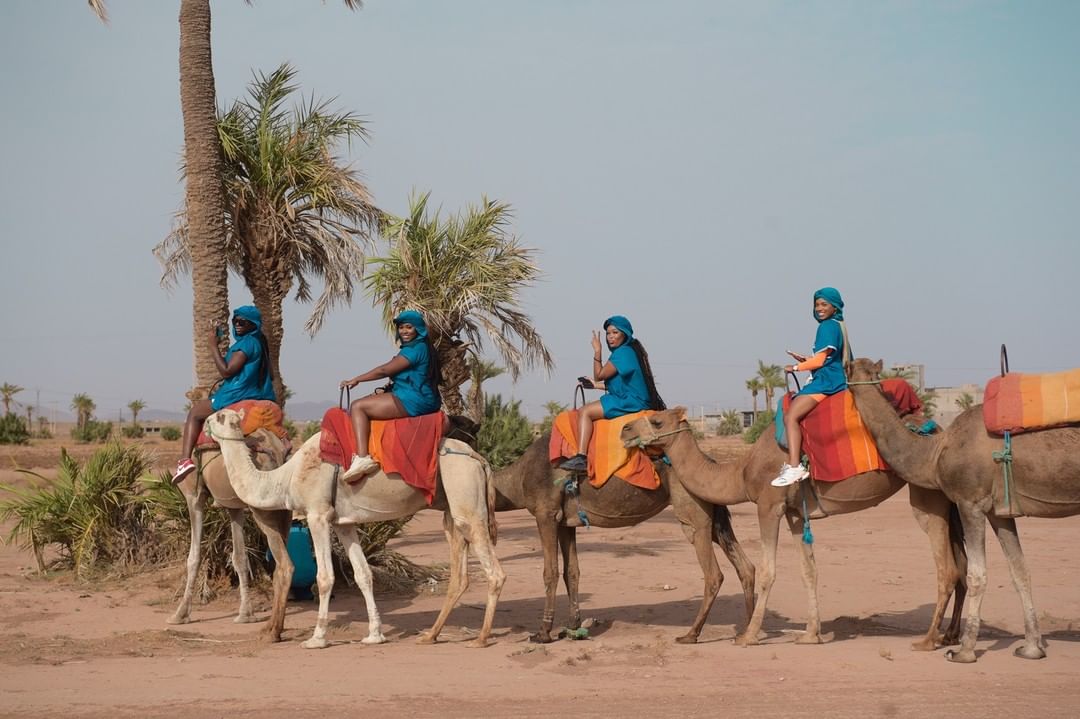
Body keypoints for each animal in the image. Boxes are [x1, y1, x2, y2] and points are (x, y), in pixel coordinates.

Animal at [165, 425, 293, 639]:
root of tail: (276, 451)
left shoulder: (194, 496)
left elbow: (194, 557)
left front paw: (180, 614)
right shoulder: (235, 506)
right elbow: (240, 557)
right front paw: (246, 614)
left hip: (262, 507)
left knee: (286, 565)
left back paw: (273, 632)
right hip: (284, 513)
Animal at [206, 405, 505, 647]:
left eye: (219, 417)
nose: (206, 423)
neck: (286, 477)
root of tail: (479, 459)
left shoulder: (317, 514)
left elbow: (324, 577)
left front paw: (317, 638)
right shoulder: (343, 523)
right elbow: (363, 575)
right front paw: (375, 635)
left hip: (464, 491)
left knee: (494, 570)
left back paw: (480, 638)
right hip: (450, 509)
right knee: (459, 573)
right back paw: (431, 635)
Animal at [492, 431, 756, 643]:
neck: (517, 478)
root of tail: (710, 462)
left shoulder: (545, 514)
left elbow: (550, 572)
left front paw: (543, 633)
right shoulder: (567, 522)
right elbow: (572, 572)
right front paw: (572, 627)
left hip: (692, 511)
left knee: (713, 573)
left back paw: (691, 634)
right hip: (714, 516)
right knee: (745, 566)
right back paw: (748, 629)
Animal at [622, 405, 967, 647]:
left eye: (657, 421)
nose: (624, 430)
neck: (740, 472)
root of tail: (940, 430)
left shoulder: (768, 506)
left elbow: (768, 571)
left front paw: (748, 636)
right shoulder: (795, 514)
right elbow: (808, 570)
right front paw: (811, 634)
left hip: (926, 495)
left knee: (946, 568)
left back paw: (928, 640)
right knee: (961, 566)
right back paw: (950, 635)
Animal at [846, 356, 1075, 660]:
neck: (934, 452)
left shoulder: (970, 502)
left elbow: (976, 574)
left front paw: (964, 650)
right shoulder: (999, 511)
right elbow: (1019, 570)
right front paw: (1031, 648)